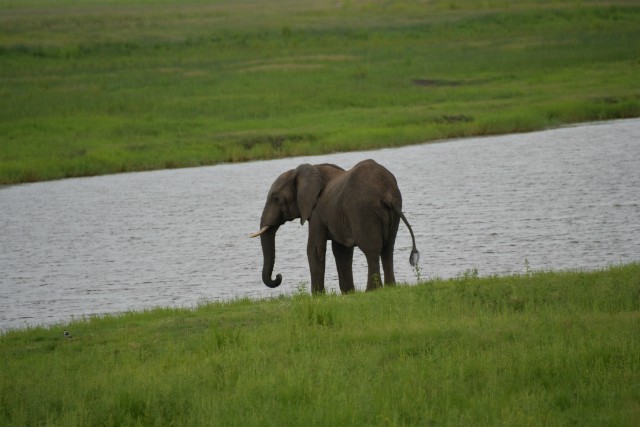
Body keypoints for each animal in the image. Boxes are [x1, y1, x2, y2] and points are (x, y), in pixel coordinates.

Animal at [250, 160, 420, 294]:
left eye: (276, 199)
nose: (278, 277)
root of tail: (387, 193)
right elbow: (341, 251)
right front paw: (349, 293)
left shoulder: (316, 211)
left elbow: (315, 249)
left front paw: (317, 297)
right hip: (393, 211)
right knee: (387, 248)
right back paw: (391, 287)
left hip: (363, 211)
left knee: (371, 249)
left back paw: (372, 290)